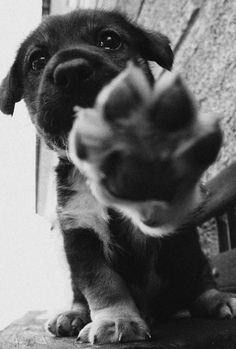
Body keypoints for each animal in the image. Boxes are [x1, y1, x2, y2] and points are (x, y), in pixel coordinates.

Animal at [0, 9, 235, 344]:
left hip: (189, 250)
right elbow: (103, 284)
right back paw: (72, 314)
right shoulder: (80, 235)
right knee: (79, 294)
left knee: (198, 279)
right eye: (37, 60)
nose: (71, 71)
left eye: (109, 40)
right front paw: (117, 320)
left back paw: (216, 299)